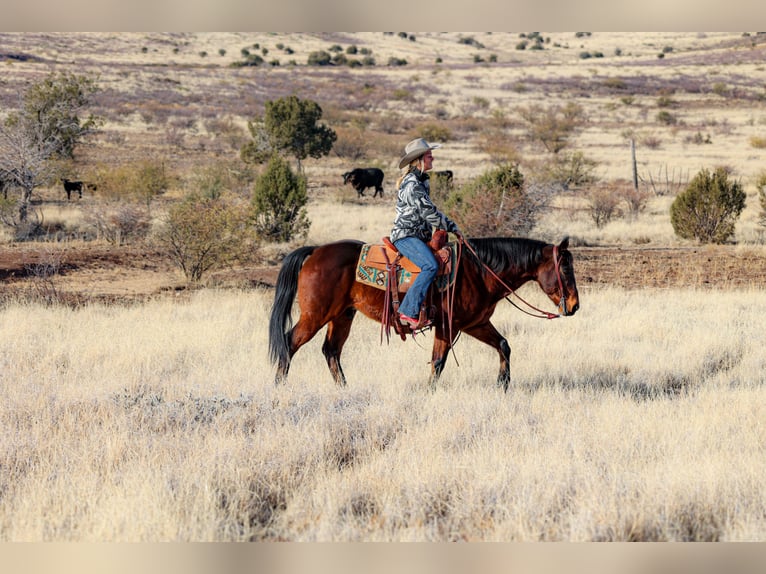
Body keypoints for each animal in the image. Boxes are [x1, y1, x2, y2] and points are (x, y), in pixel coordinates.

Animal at [270, 237, 584, 392]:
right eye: (565, 268)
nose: (574, 305)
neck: (478, 270)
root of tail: (315, 252)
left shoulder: (476, 323)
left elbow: (504, 345)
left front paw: (503, 384)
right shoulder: (448, 326)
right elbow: (438, 361)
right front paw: (429, 392)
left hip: (343, 315)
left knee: (331, 351)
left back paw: (344, 390)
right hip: (316, 315)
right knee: (289, 343)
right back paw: (278, 387)